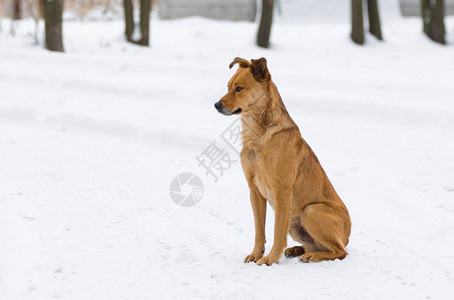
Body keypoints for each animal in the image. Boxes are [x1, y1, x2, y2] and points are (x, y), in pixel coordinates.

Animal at [215, 56, 352, 264]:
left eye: (239, 88)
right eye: (228, 87)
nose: (216, 105)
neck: (257, 135)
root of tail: (348, 234)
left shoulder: (282, 192)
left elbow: (277, 231)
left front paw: (270, 259)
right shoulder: (254, 190)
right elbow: (259, 230)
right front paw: (256, 254)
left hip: (311, 211)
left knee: (340, 251)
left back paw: (312, 256)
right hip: (296, 223)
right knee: (317, 245)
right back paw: (297, 250)